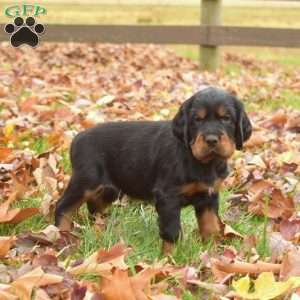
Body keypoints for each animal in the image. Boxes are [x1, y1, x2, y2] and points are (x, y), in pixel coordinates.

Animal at [55, 86, 252, 253]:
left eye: (226, 118)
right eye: (197, 119)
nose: (211, 140)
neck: (201, 161)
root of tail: (77, 137)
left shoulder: (209, 196)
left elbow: (211, 227)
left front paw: (212, 255)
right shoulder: (168, 197)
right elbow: (172, 232)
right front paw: (169, 260)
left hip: (108, 190)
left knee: (94, 208)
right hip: (86, 181)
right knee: (63, 206)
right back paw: (61, 236)